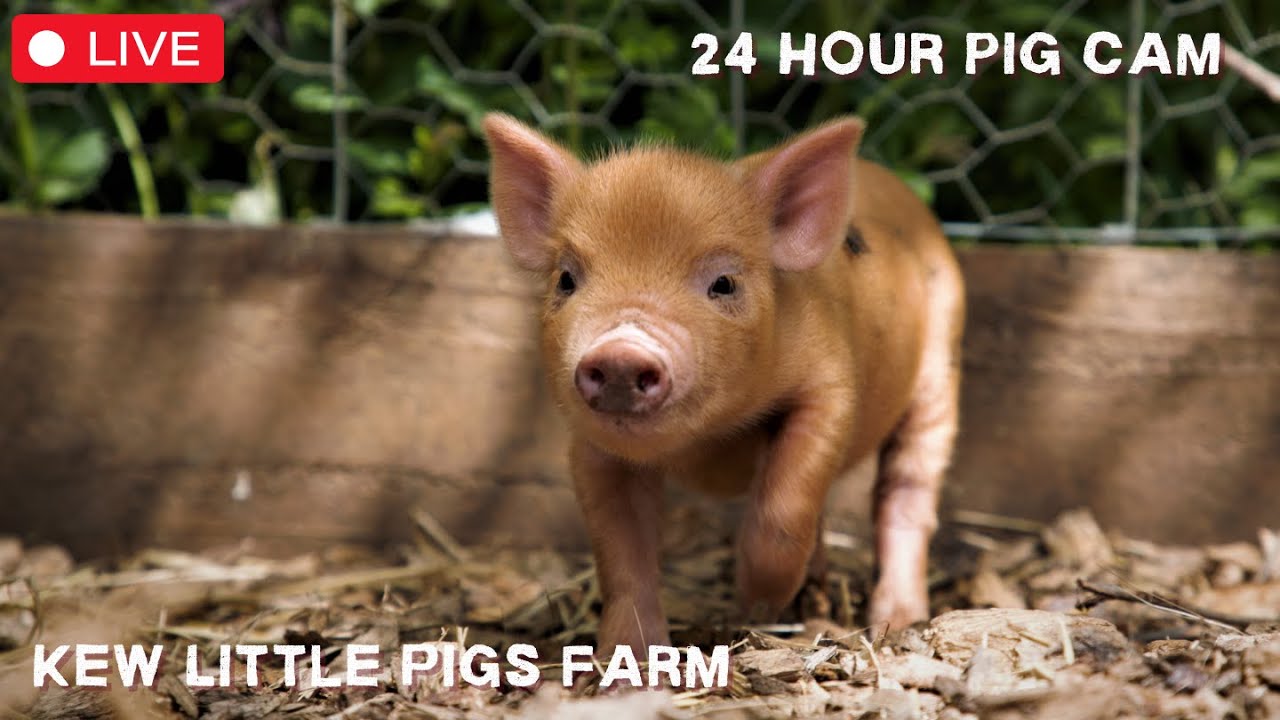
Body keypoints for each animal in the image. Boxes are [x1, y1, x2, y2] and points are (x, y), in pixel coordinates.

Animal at [482, 113, 964, 656]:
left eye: (724, 283)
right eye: (566, 279)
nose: (622, 351)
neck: (709, 443)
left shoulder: (828, 386)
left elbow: (784, 509)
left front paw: (756, 606)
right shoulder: (592, 450)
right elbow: (621, 553)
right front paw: (629, 662)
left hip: (941, 364)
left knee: (906, 490)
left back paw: (895, 620)